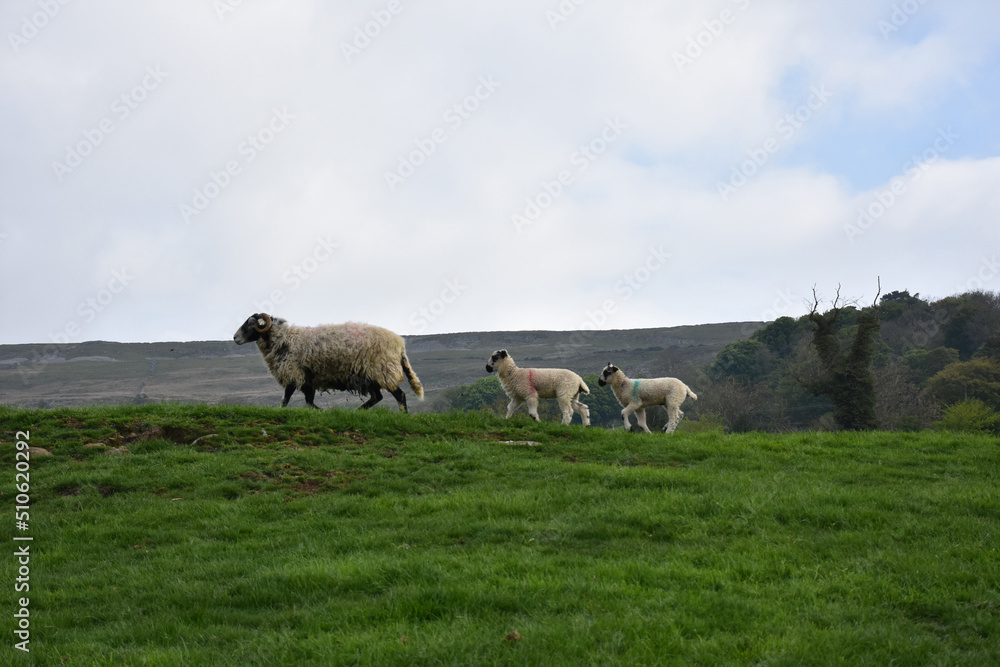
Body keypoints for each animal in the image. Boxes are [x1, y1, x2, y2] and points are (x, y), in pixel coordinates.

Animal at [233, 313, 423, 411]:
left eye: (251, 323)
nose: (235, 338)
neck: (284, 339)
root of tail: (400, 344)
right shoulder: (308, 378)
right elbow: (308, 402)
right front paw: (320, 412)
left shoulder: (294, 372)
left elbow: (285, 398)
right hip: (368, 376)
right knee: (377, 397)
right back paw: (357, 412)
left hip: (382, 371)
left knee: (400, 395)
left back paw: (403, 416)